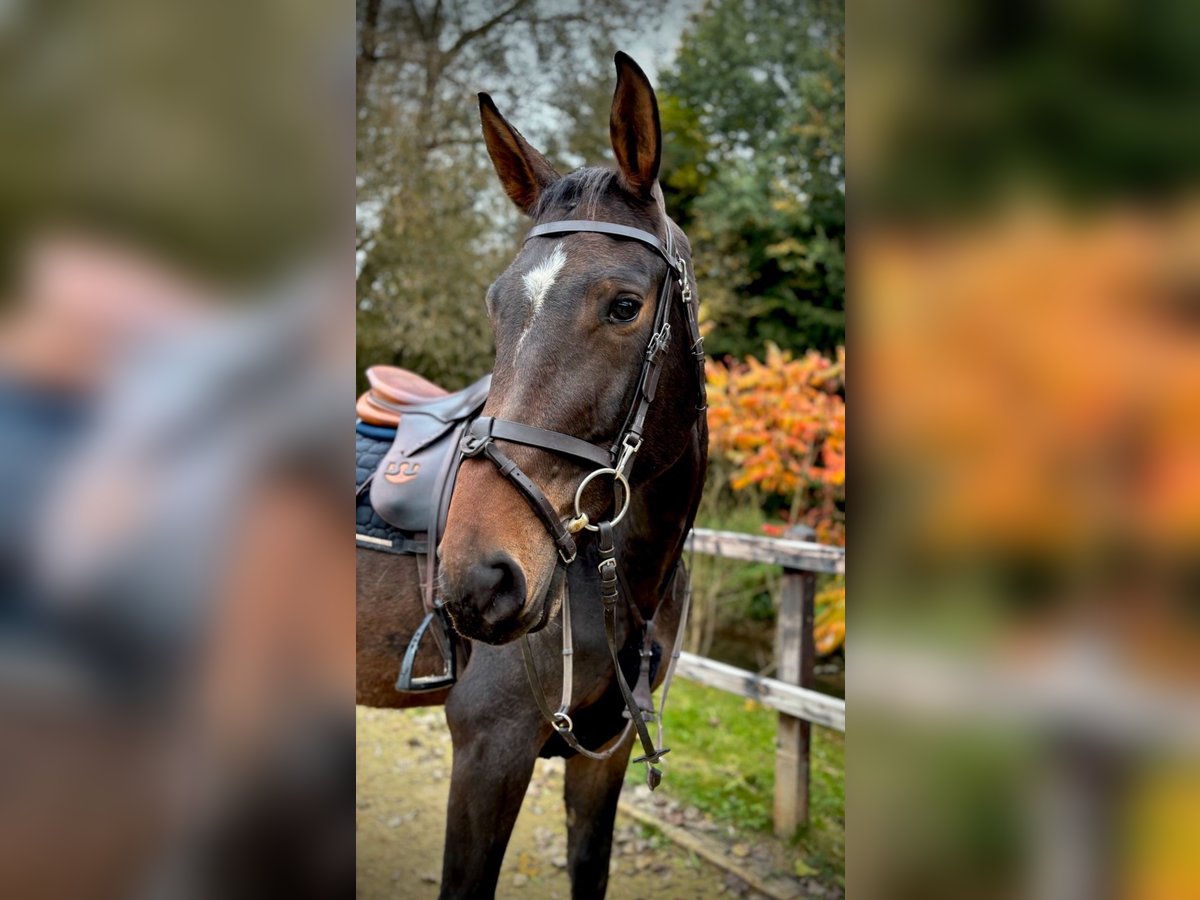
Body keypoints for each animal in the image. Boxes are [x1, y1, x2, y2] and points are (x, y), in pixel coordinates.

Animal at [355, 52, 710, 897]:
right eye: (496, 304)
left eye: (625, 305)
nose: (478, 578)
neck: (625, 582)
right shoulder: (491, 755)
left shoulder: (603, 760)